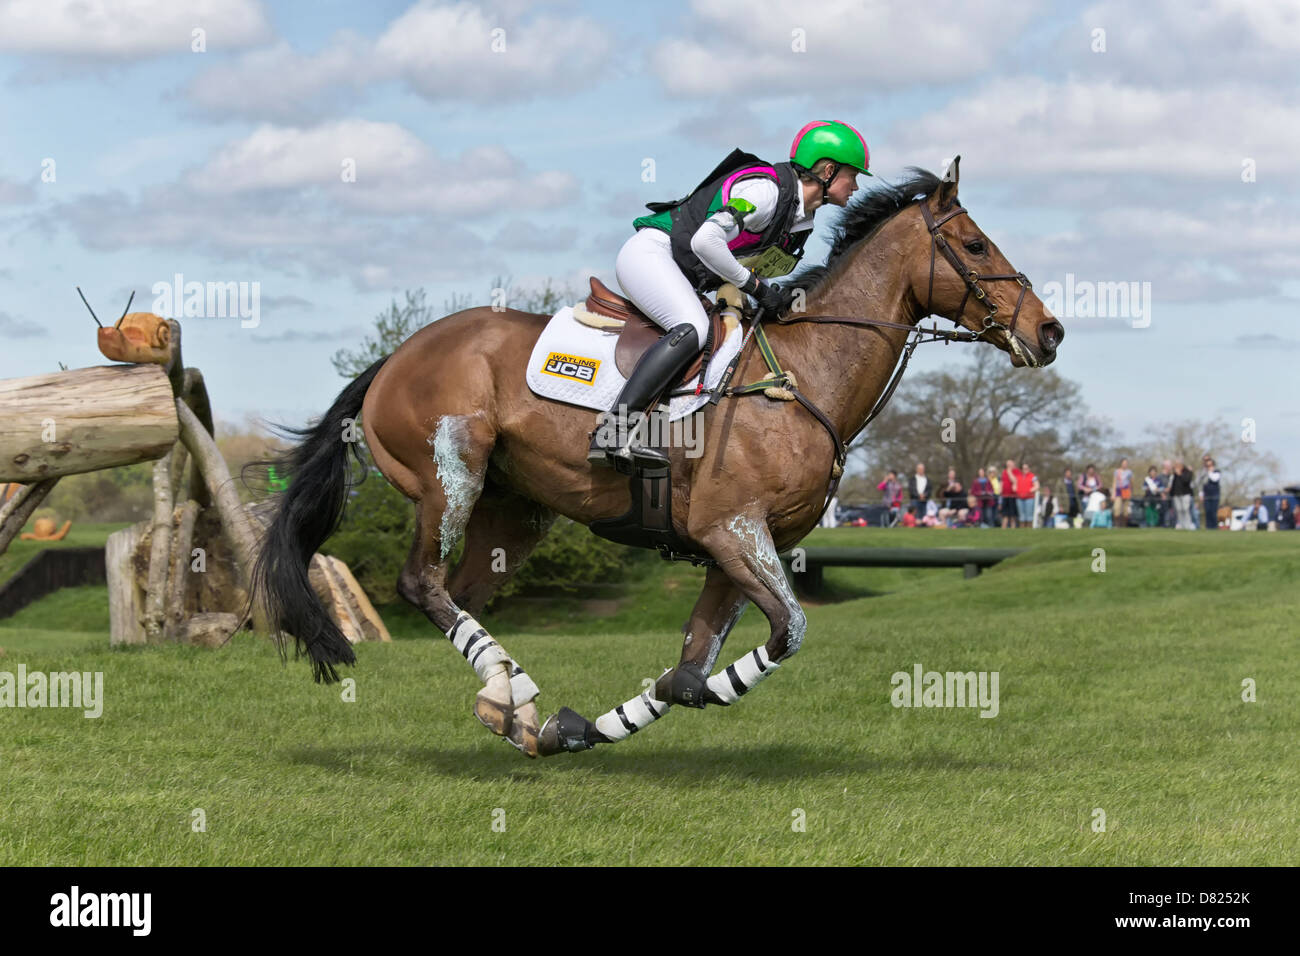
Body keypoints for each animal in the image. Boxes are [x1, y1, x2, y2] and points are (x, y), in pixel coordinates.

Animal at [247, 157, 1064, 758]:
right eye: (976, 246)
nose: (1049, 331)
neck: (803, 377)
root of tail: (395, 357)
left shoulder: (739, 549)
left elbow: (694, 668)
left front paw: (582, 726)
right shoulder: (731, 530)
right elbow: (778, 638)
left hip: (517, 513)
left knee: (459, 595)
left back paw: (512, 703)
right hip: (451, 476)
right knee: (420, 583)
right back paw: (514, 694)